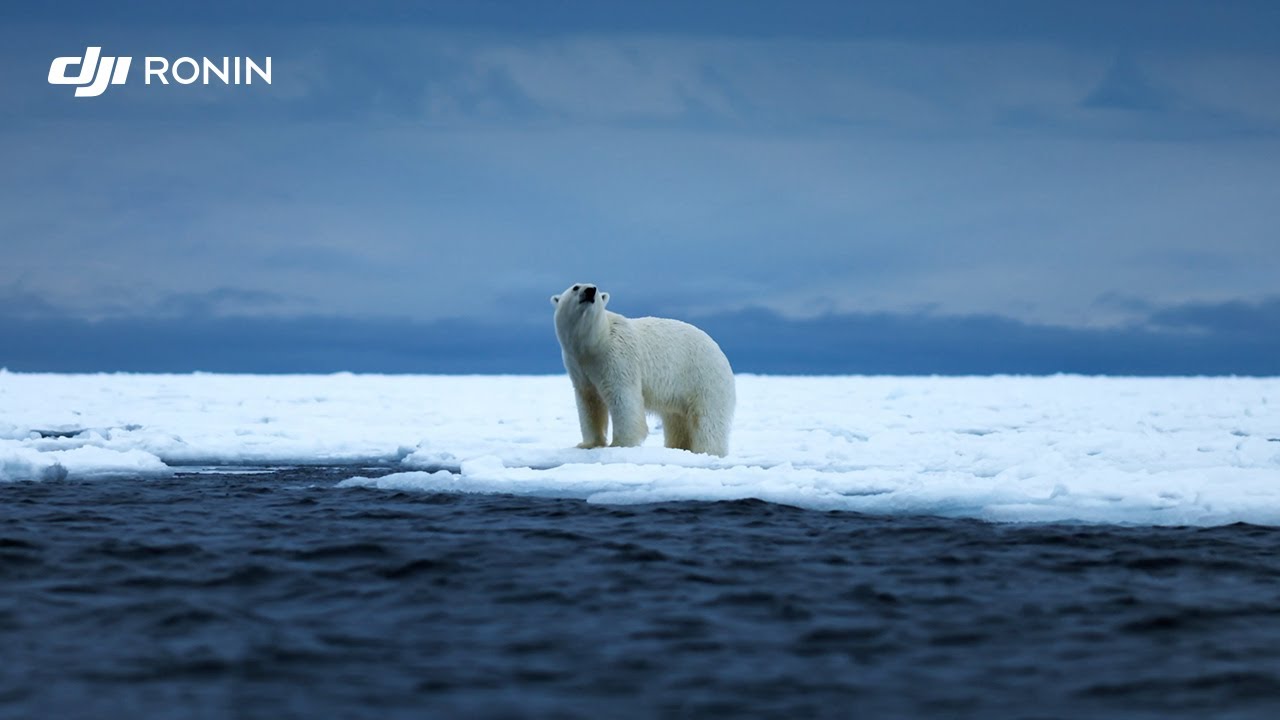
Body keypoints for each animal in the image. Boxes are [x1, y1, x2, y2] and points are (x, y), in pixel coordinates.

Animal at [550, 282, 736, 457]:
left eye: (596, 288)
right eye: (576, 287)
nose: (590, 291)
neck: (595, 341)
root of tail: (720, 352)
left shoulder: (616, 356)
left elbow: (622, 396)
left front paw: (620, 443)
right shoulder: (578, 365)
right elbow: (589, 401)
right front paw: (587, 444)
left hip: (703, 377)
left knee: (707, 419)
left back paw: (708, 451)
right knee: (677, 420)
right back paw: (678, 447)